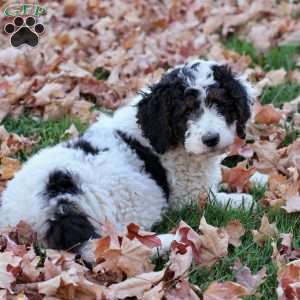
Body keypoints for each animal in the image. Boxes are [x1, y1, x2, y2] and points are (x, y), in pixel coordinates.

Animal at [0, 59, 258, 252]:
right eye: (186, 112)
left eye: (220, 105)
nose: (211, 139)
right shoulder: (186, 195)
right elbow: (210, 197)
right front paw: (243, 201)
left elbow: (227, 173)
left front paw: (257, 179)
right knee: (108, 244)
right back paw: (165, 242)